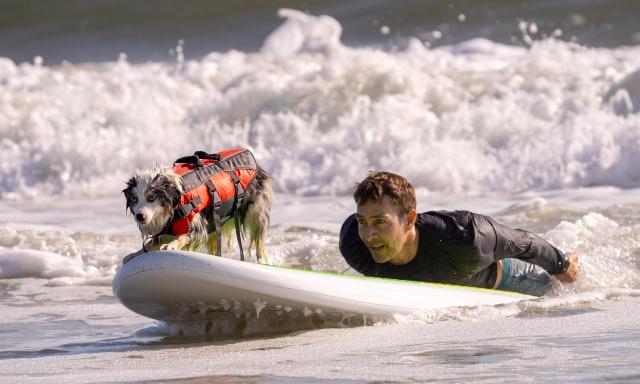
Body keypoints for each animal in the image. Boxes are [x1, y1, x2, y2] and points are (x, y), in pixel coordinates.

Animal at [122, 155, 272, 264]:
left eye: (151, 197)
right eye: (134, 199)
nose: (140, 216)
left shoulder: (197, 223)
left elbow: (185, 235)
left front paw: (171, 245)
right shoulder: (167, 228)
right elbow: (151, 243)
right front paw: (134, 254)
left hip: (256, 211)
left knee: (259, 238)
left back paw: (261, 260)